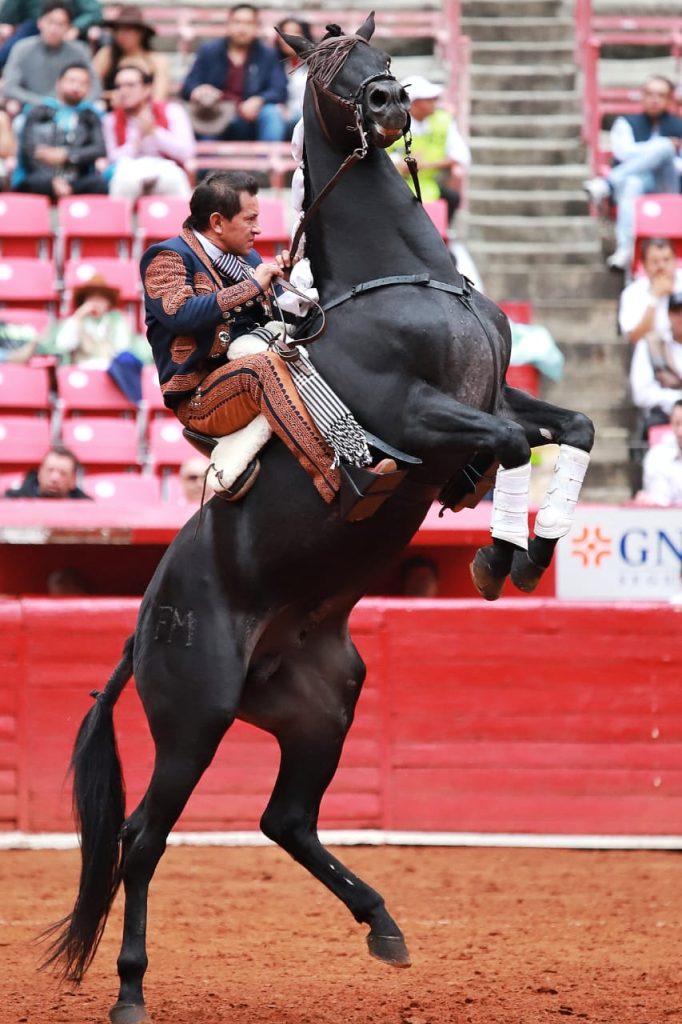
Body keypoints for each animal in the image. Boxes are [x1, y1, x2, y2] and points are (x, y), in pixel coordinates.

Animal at [47, 16, 589, 1024]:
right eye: (327, 68)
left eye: (380, 57)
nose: (389, 101)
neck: (403, 279)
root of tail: (140, 632)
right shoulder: (420, 417)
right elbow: (504, 446)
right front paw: (496, 557)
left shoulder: (499, 394)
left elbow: (566, 428)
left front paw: (530, 552)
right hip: (193, 719)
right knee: (143, 837)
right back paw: (131, 987)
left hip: (323, 705)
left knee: (285, 818)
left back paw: (384, 925)